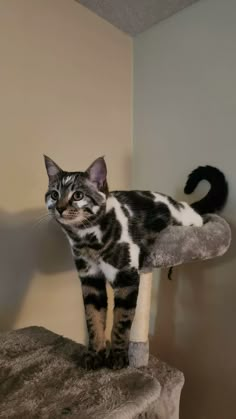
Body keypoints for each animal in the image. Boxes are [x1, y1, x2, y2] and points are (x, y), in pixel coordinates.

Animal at [43, 156, 228, 370]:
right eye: (54, 194)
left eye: (78, 195)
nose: (59, 208)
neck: (87, 240)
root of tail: (184, 205)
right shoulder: (90, 281)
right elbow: (94, 321)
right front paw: (94, 355)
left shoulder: (126, 279)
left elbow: (121, 323)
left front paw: (117, 357)